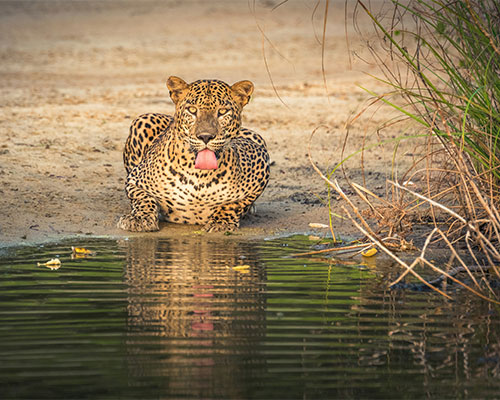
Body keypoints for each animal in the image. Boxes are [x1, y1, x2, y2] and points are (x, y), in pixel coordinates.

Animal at [116, 75, 270, 233]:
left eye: (222, 112)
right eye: (192, 110)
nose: (205, 136)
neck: (199, 176)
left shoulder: (260, 162)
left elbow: (234, 204)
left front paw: (221, 222)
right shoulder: (134, 180)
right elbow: (143, 198)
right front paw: (140, 219)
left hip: (257, 137)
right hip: (143, 119)